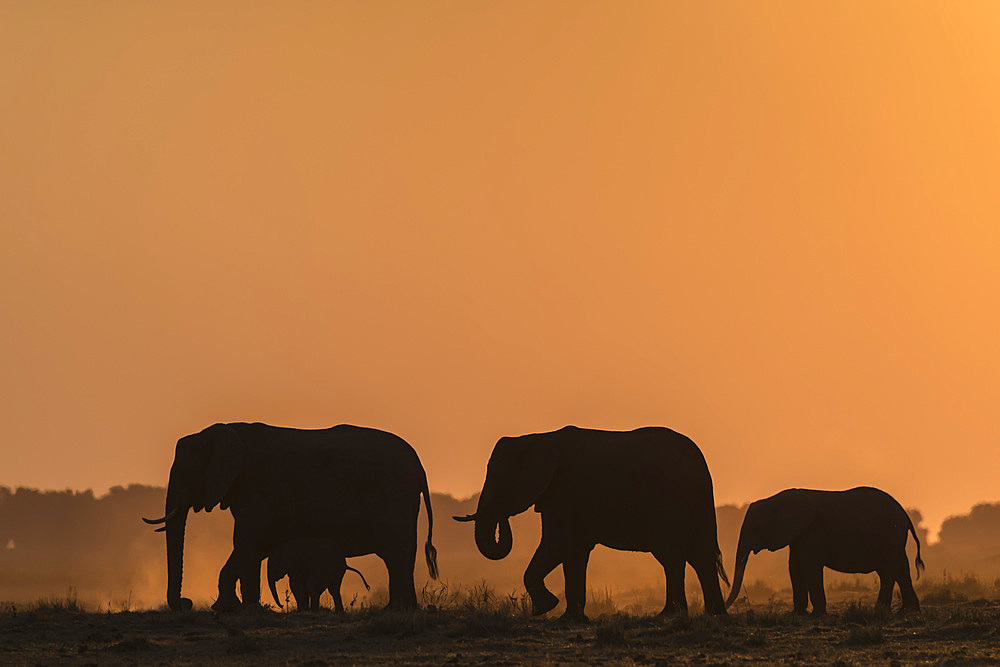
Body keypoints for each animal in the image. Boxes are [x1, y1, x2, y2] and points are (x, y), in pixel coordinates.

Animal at [142, 426, 438, 612]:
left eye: (185, 472)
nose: (186, 603)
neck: (224, 431)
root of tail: (421, 467)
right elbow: (254, 545)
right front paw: (226, 608)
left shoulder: (255, 486)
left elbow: (247, 540)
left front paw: (248, 610)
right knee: (398, 557)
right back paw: (402, 609)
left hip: (395, 498)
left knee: (396, 554)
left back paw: (398, 609)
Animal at [454, 428, 728, 620]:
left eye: (501, 480)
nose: (502, 515)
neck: (536, 437)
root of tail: (701, 464)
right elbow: (574, 553)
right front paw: (569, 619)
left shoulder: (563, 490)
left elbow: (558, 545)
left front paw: (544, 608)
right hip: (696, 503)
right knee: (699, 556)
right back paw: (714, 614)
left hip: (670, 502)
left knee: (672, 557)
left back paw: (668, 615)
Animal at [724, 486, 924, 616]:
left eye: (754, 527)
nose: (725, 608)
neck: (776, 499)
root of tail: (905, 515)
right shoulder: (798, 535)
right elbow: (794, 567)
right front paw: (796, 614)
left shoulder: (812, 532)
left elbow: (810, 566)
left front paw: (816, 615)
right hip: (893, 539)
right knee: (900, 569)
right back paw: (906, 611)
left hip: (889, 537)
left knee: (888, 571)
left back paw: (880, 611)